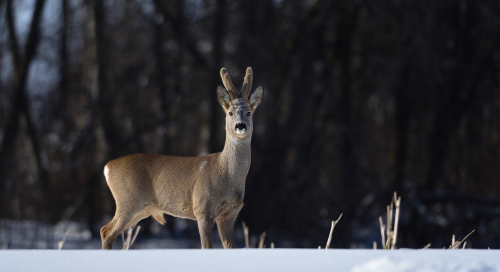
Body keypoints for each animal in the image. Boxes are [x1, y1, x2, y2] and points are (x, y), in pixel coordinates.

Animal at [101, 66, 266, 249]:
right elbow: (206, 246)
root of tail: (108, 167)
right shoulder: (202, 208)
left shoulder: (229, 215)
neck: (226, 176)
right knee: (106, 231)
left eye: (249, 113)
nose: (240, 126)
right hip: (128, 202)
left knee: (105, 231)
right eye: (230, 113)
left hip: (140, 209)